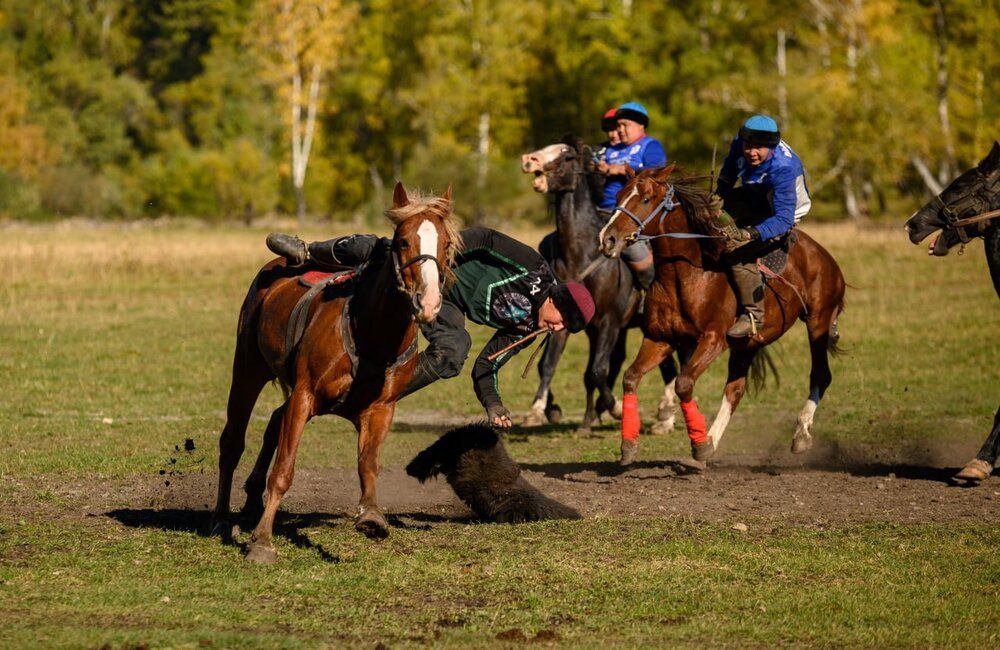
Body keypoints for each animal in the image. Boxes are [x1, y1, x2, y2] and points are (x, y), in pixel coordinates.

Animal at [213, 181, 462, 556]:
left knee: (273, 422)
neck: (371, 331)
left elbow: (368, 464)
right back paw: (221, 519)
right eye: (403, 241)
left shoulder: (381, 410)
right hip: (247, 369)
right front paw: (262, 541)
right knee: (232, 442)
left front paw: (371, 517)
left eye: (445, 244)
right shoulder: (304, 396)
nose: (428, 301)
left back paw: (252, 500)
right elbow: (284, 469)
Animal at [596, 165, 848, 464]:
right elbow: (631, 377)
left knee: (820, 375)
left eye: (645, 199)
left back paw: (800, 434)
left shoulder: (713, 339)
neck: (687, 274)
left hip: (818, 321)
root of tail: (826, 258)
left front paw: (697, 444)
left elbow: (683, 383)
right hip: (748, 344)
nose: (607, 239)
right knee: (735, 390)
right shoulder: (660, 339)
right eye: (619, 196)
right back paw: (712, 440)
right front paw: (629, 445)